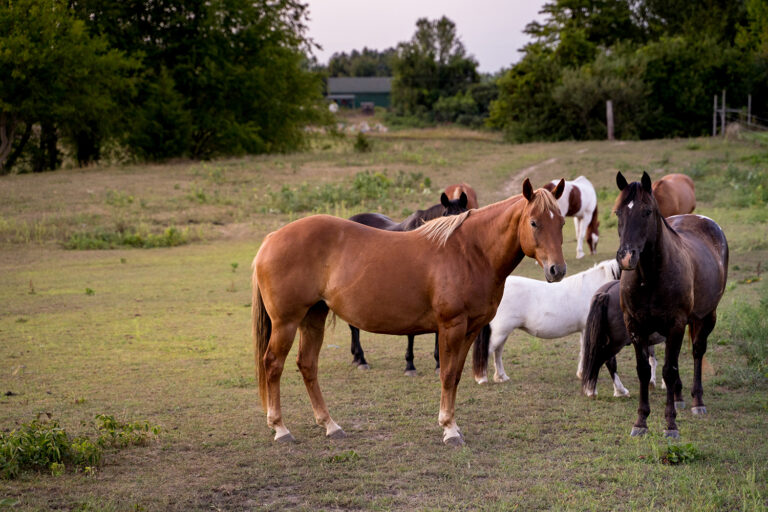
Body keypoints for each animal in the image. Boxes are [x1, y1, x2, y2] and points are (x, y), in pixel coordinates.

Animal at [346, 190, 470, 374]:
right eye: (446, 216)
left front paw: (438, 364)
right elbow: (410, 333)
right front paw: (410, 365)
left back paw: (356, 357)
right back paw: (361, 359)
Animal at [472, 259, 635, 397]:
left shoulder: (584, 330)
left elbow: (584, 351)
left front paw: (582, 373)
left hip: (503, 333)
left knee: (497, 352)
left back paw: (501, 377)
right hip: (500, 332)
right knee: (488, 351)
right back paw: (482, 378)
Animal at [610, 171, 728, 438]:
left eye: (646, 212)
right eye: (618, 212)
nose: (626, 257)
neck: (650, 278)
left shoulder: (676, 324)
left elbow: (669, 370)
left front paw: (671, 424)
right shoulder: (635, 326)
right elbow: (644, 370)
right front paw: (640, 422)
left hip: (707, 316)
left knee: (697, 351)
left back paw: (697, 402)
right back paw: (680, 396)